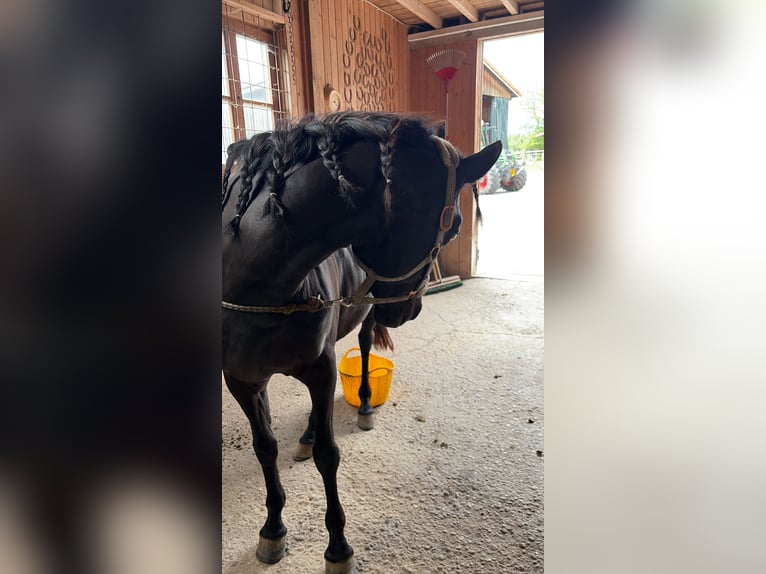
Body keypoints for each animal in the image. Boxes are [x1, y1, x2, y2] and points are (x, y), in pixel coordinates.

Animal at [222, 111, 501, 574]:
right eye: (456, 226)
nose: (409, 310)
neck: (257, 286)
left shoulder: (320, 369)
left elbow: (328, 456)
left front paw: (337, 547)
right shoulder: (243, 381)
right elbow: (266, 449)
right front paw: (273, 528)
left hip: (364, 319)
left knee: (367, 348)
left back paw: (365, 406)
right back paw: (307, 433)